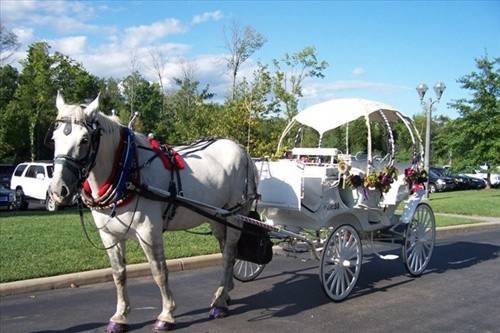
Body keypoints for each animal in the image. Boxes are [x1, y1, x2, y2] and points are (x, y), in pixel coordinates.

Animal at [49, 91, 258, 332]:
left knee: (230, 253)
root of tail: (241, 149)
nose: (58, 190)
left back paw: (220, 303)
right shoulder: (109, 234)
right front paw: (120, 316)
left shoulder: (148, 231)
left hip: (235, 214)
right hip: (217, 217)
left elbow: (159, 271)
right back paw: (224, 292)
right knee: (225, 253)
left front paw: (166, 315)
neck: (126, 168)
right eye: (54, 139)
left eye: (84, 140)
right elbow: (118, 274)